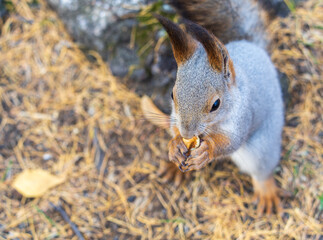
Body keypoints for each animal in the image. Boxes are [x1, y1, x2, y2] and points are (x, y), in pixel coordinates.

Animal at [142, 0, 286, 214]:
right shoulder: (175, 116)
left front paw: (207, 150)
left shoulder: (243, 117)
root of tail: (253, 47)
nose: (187, 133)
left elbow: (230, 142)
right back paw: (174, 168)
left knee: (263, 169)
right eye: (172, 94)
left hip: (261, 146)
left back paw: (266, 192)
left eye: (216, 104)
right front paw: (175, 144)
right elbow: (173, 128)